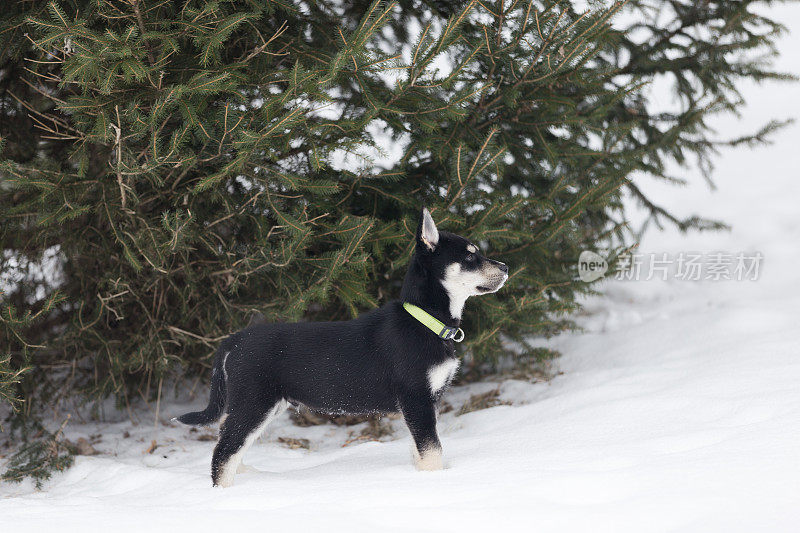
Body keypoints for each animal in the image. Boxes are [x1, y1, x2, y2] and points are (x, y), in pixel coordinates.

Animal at [178, 208, 510, 486]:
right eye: (470, 258)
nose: (506, 267)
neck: (425, 320)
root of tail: (234, 339)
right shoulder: (416, 398)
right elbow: (432, 450)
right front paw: (436, 482)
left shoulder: (423, 404)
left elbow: (420, 450)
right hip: (253, 403)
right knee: (224, 452)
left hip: (259, 405)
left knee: (231, 444)